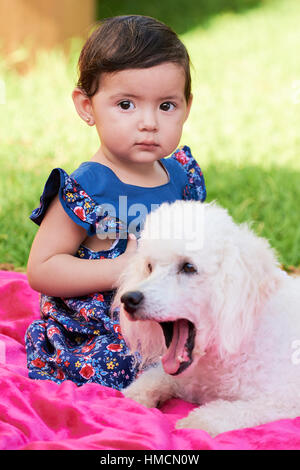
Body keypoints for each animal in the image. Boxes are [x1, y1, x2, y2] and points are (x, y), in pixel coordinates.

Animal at [115, 200, 300, 436]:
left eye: (188, 267)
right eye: (149, 267)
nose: (129, 299)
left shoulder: (283, 398)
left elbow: (233, 412)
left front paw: (198, 421)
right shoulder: (186, 380)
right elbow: (156, 377)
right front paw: (132, 395)